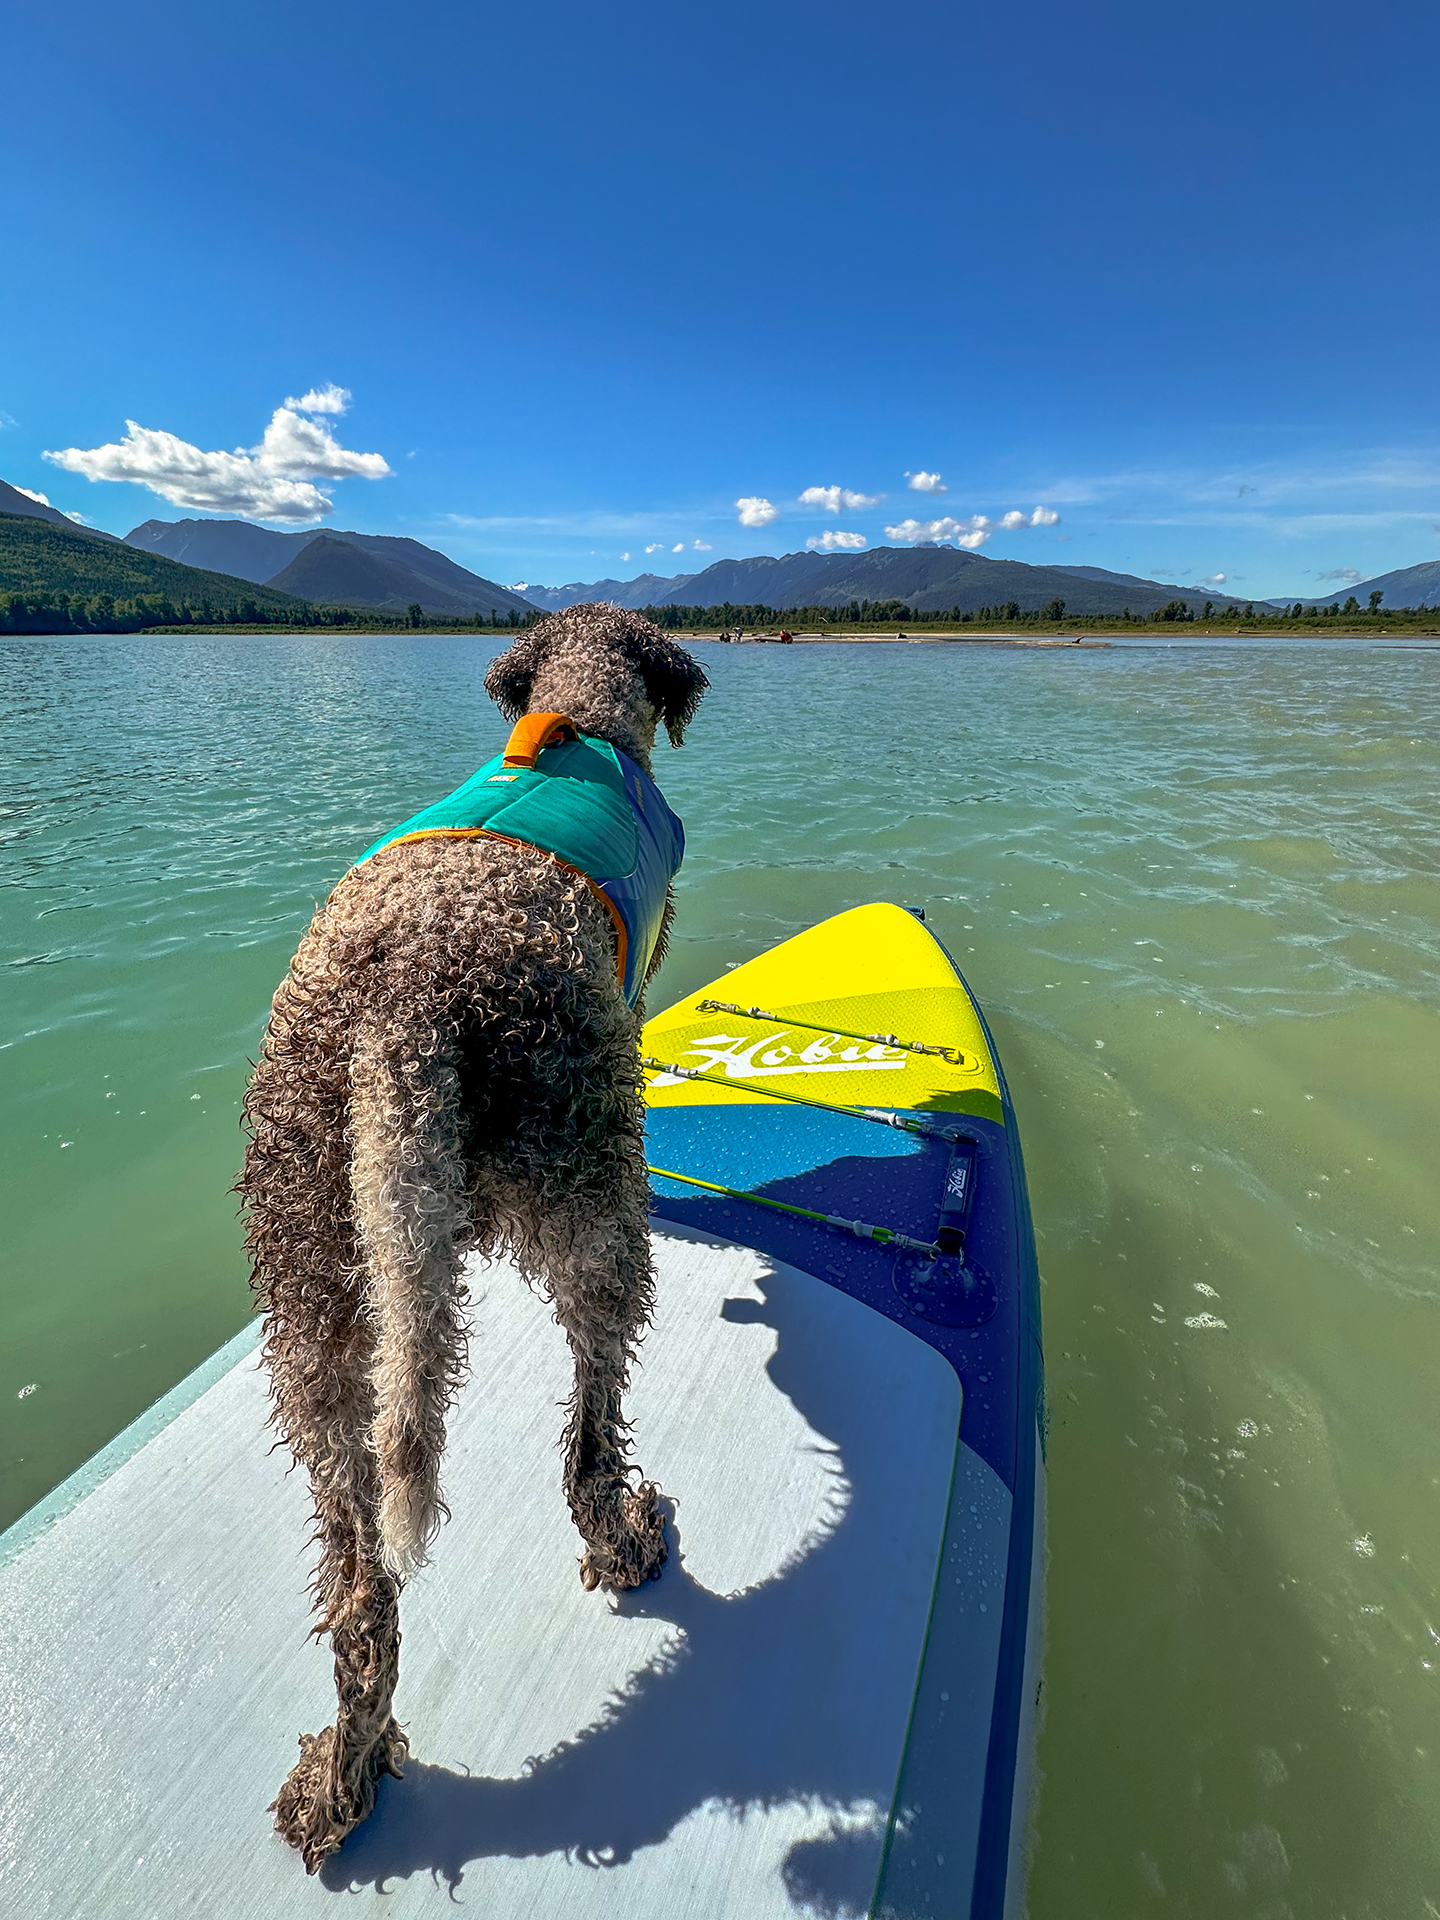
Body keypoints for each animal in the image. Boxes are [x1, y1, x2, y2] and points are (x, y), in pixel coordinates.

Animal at [240, 602, 710, 1873]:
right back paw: (626, 1537)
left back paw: (341, 1778)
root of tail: (402, 1016)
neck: (578, 718)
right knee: (591, 1425)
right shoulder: (633, 992)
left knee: (362, 1596)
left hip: (311, 1275)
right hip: (590, 1189)